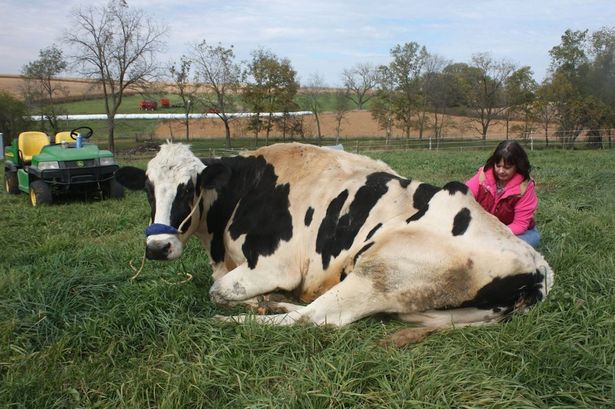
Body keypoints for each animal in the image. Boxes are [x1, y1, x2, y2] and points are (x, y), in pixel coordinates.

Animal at [114, 142, 552, 342]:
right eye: (148, 189)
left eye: (189, 188)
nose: (157, 248)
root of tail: (537, 266)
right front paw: (264, 300)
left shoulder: (276, 265)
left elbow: (219, 291)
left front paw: (251, 304)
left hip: (378, 271)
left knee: (315, 319)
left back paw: (243, 318)